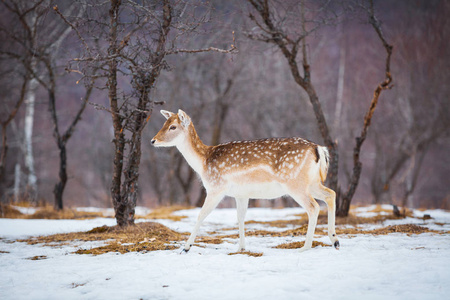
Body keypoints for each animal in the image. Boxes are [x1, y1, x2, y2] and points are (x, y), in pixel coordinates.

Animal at [150, 109, 338, 252]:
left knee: (313, 207)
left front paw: (186, 247)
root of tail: (319, 149)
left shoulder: (216, 188)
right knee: (331, 194)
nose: (153, 140)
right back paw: (334, 240)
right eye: (164, 124)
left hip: (295, 183)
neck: (204, 162)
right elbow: (240, 217)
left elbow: (201, 215)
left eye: (173, 127)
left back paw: (305, 247)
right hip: (312, 182)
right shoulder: (241, 194)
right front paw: (241, 247)